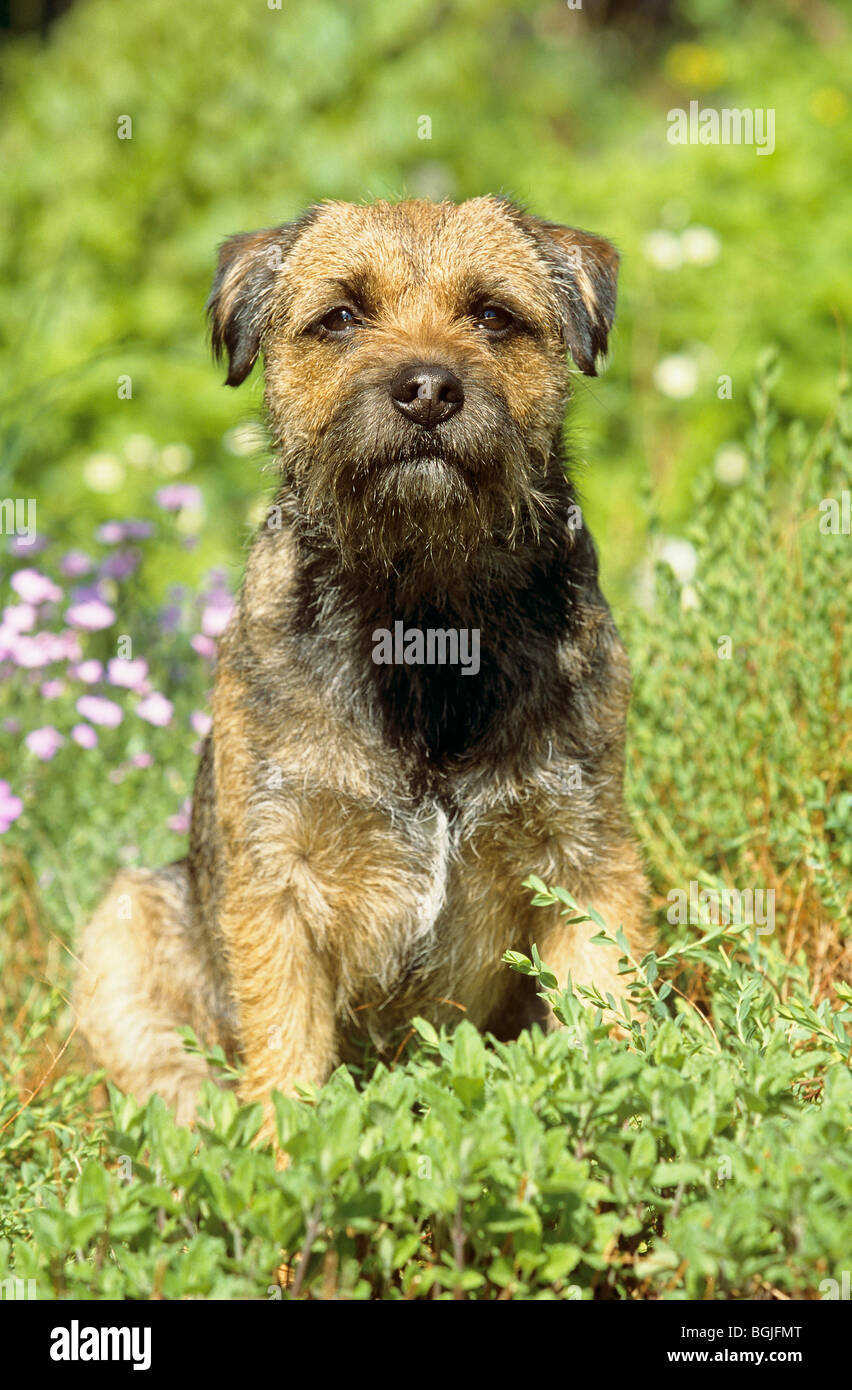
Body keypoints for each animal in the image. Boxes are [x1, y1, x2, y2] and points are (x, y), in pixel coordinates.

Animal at [76, 195, 647, 1128]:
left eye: (493, 315)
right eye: (341, 317)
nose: (427, 389)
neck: (423, 620)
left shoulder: (585, 857)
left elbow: (609, 1007)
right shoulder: (278, 880)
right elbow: (285, 1045)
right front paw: (288, 1150)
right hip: (126, 919)